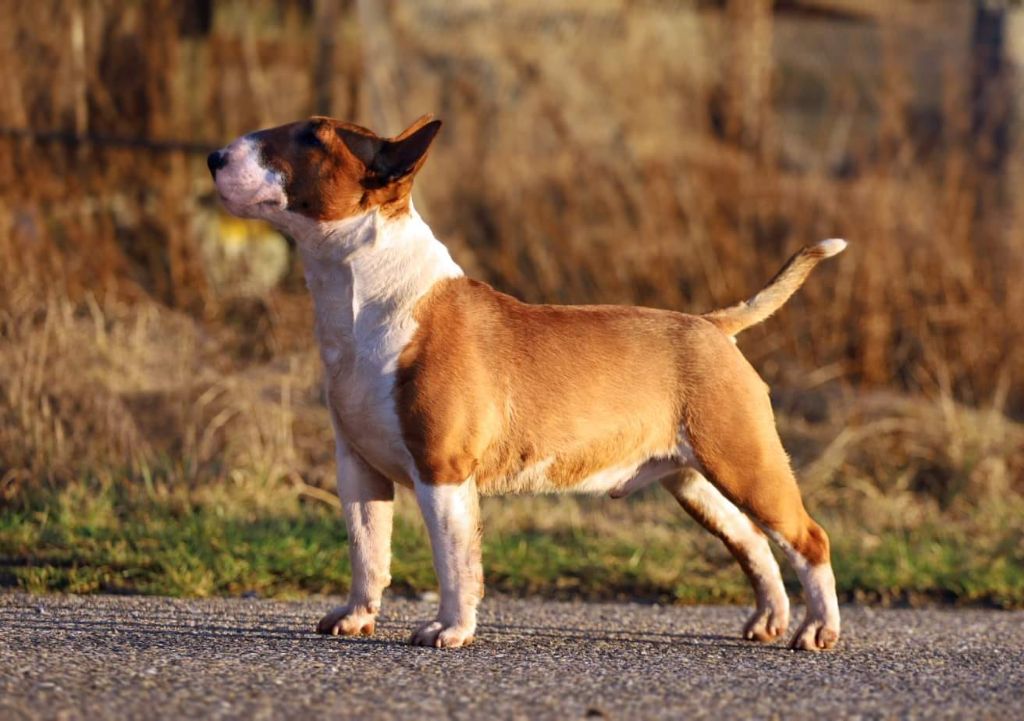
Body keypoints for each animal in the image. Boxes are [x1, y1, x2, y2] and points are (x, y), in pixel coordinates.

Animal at [209, 115, 847, 651]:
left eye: (313, 137)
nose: (214, 155)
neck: (365, 295)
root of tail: (714, 325)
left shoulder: (443, 470)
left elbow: (455, 560)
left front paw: (449, 629)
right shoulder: (358, 467)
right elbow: (368, 549)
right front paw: (356, 617)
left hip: (745, 461)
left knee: (808, 538)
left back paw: (817, 631)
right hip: (692, 480)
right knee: (754, 541)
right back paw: (768, 620)